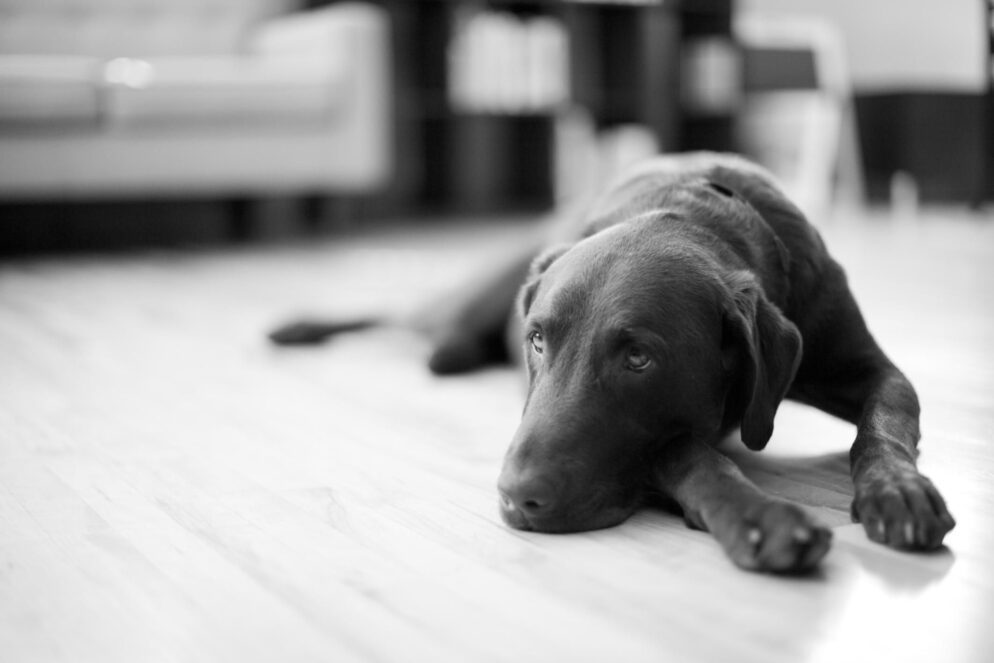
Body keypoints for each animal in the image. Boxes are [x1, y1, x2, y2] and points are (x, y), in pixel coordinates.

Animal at [271, 153, 955, 573]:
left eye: (639, 359)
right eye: (538, 340)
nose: (516, 498)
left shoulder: (868, 366)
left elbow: (887, 423)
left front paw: (898, 491)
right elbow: (689, 455)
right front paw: (756, 516)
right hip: (466, 300)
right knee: (400, 313)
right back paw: (298, 326)